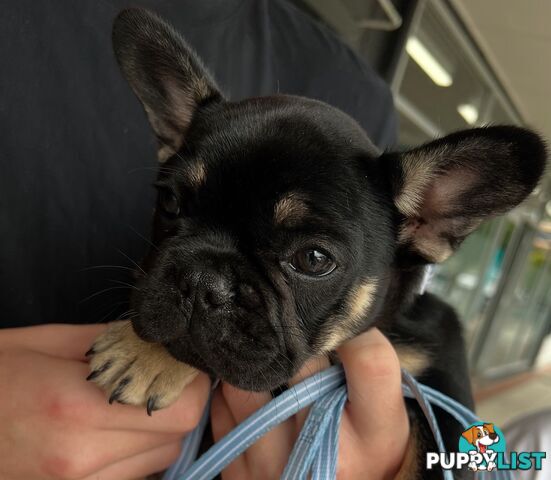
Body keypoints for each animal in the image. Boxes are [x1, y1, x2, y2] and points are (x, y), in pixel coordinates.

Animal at [87, 6, 548, 476]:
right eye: (170, 203)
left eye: (313, 259)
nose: (202, 281)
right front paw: (144, 351)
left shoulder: (442, 395)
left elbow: (433, 457)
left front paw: (146, 353)